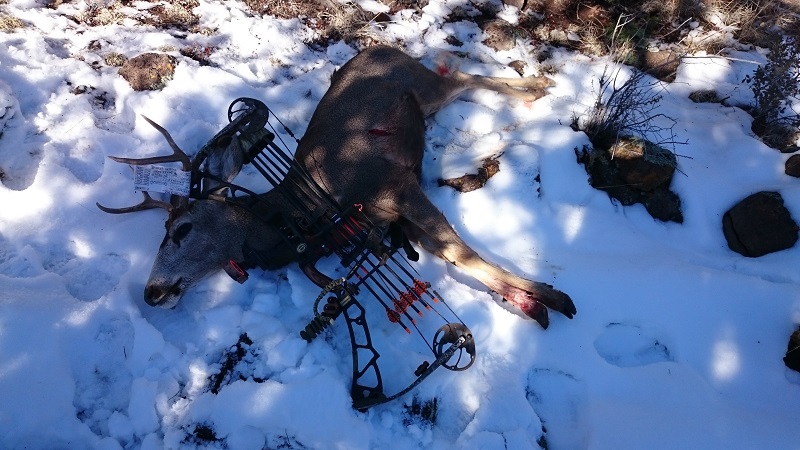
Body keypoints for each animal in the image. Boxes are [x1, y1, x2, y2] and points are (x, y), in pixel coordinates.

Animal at [100, 44, 576, 326]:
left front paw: (554, 296)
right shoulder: (392, 219)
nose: (151, 292)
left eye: (181, 230)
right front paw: (533, 305)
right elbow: (457, 257)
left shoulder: (394, 185)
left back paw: (540, 85)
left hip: (423, 87)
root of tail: (381, 46)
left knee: (462, 78)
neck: (308, 214)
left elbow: (465, 254)